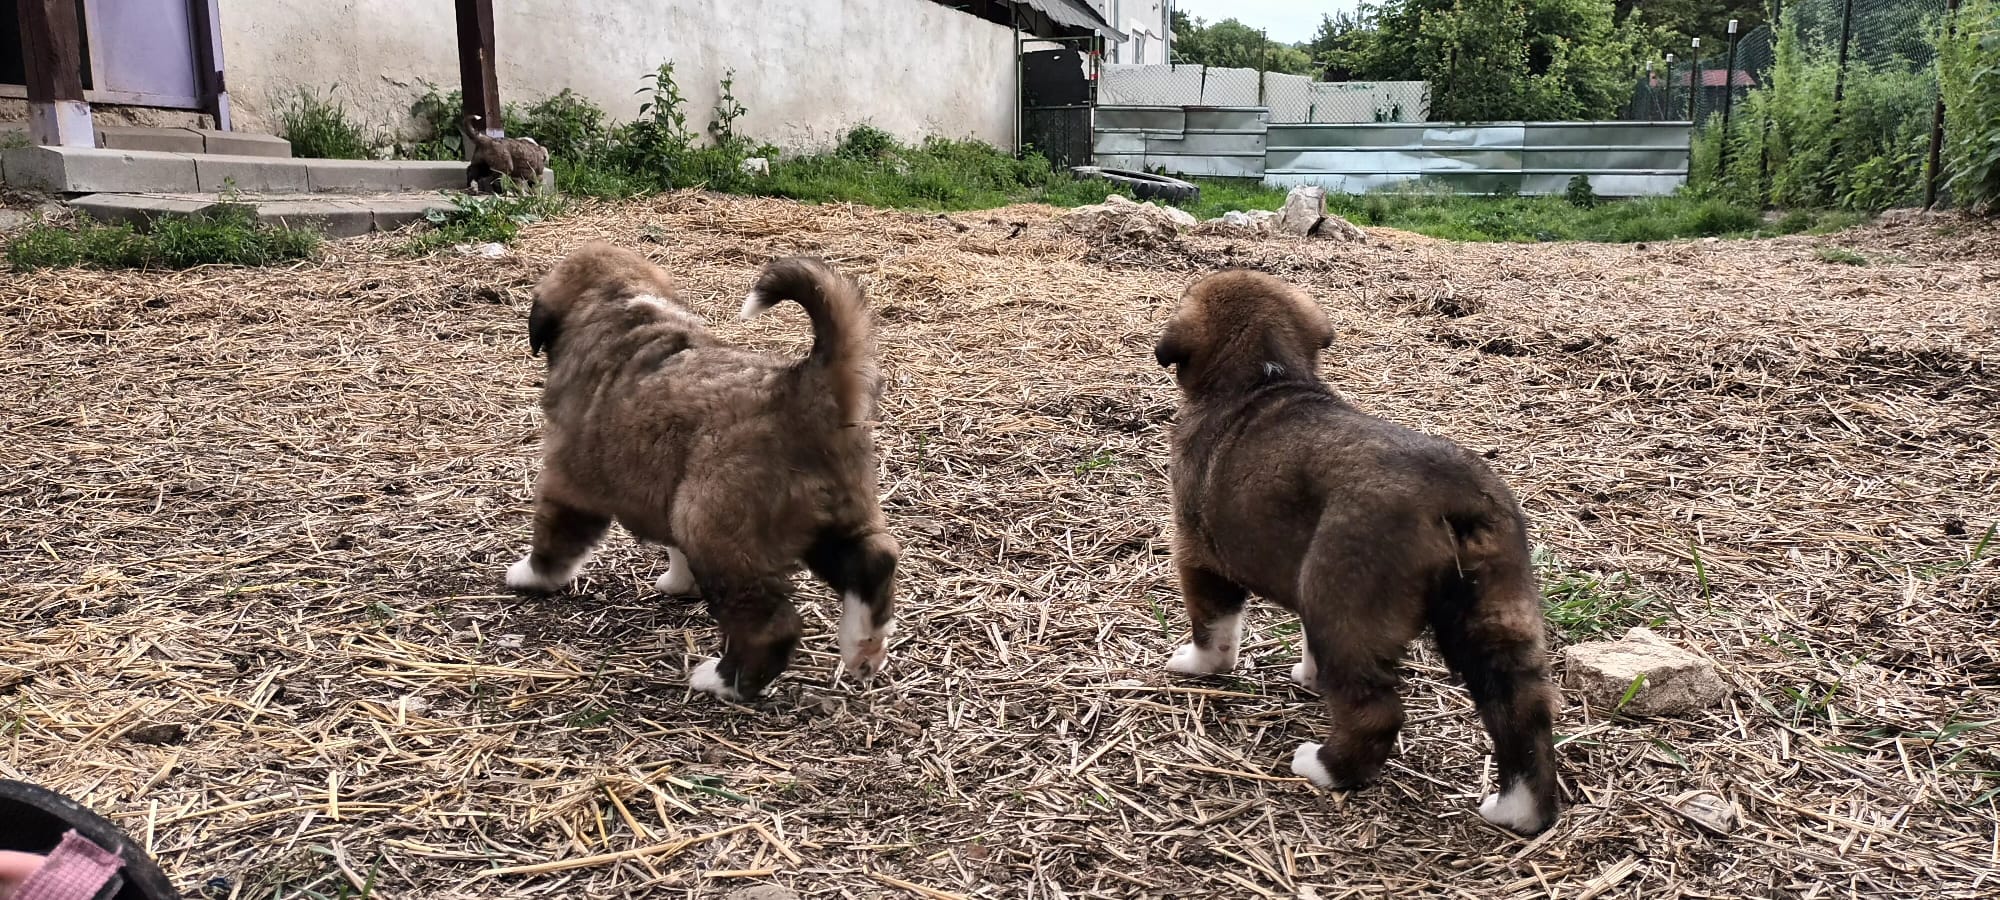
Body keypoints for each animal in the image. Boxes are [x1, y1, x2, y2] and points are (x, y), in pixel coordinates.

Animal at [507, 243, 899, 702]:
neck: (618, 303)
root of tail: (805, 386)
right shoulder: (664, 489)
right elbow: (673, 547)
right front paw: (678, 582)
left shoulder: (569, 482)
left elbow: (554, 536)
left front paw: (530, 575)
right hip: (833, 517)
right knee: (873, 561)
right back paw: (864, 646)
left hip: (715, 528)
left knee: (770, 625)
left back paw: (723, 680)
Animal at [1152, 269, 1560, 834]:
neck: (1262, 377)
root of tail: (1453, 497)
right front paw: (1306, 675)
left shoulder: (1199, 556)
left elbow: (1213, 628)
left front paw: (1196, 664)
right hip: (1496, 611)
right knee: (1522, 707)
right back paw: (1519, 809)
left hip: (1343, 606)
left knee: (1376, 711)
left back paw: (1324, 767)